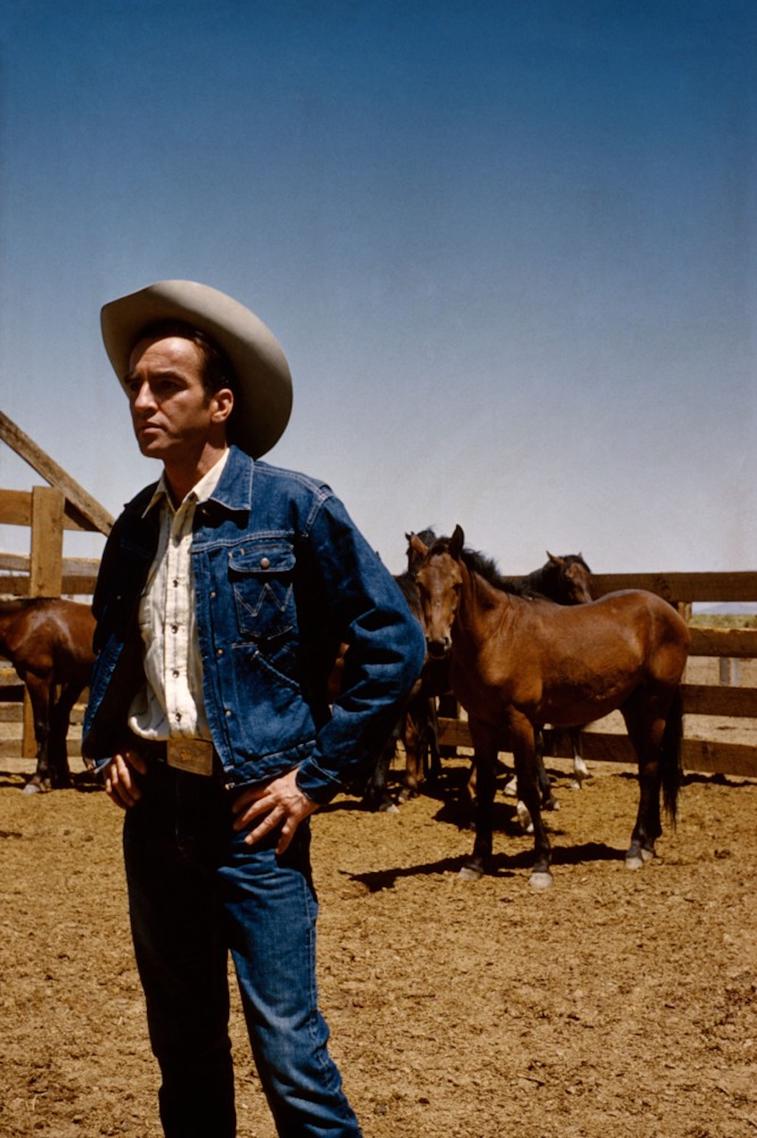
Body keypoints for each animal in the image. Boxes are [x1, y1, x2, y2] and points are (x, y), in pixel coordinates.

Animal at [0, 596, 96, 792]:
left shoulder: (38, 679)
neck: (23, 622)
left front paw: (38, 779)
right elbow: (57, 723)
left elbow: (43, 727)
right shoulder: (55, 682)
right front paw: (54, 776)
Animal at [409, 523, 687, 887]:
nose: (437, 643)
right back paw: (649, 841)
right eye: (420, 582)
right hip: (634, 708)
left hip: (654, 707)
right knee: (650, 767)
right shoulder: (481, 723)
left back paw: (635, 848)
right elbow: (485, 786)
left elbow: (529, 786)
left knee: (650, 769)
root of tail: (668, 612)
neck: (497, 636)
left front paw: (542, 863)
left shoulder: (521, 721)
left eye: (456, 583)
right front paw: (476, 861)